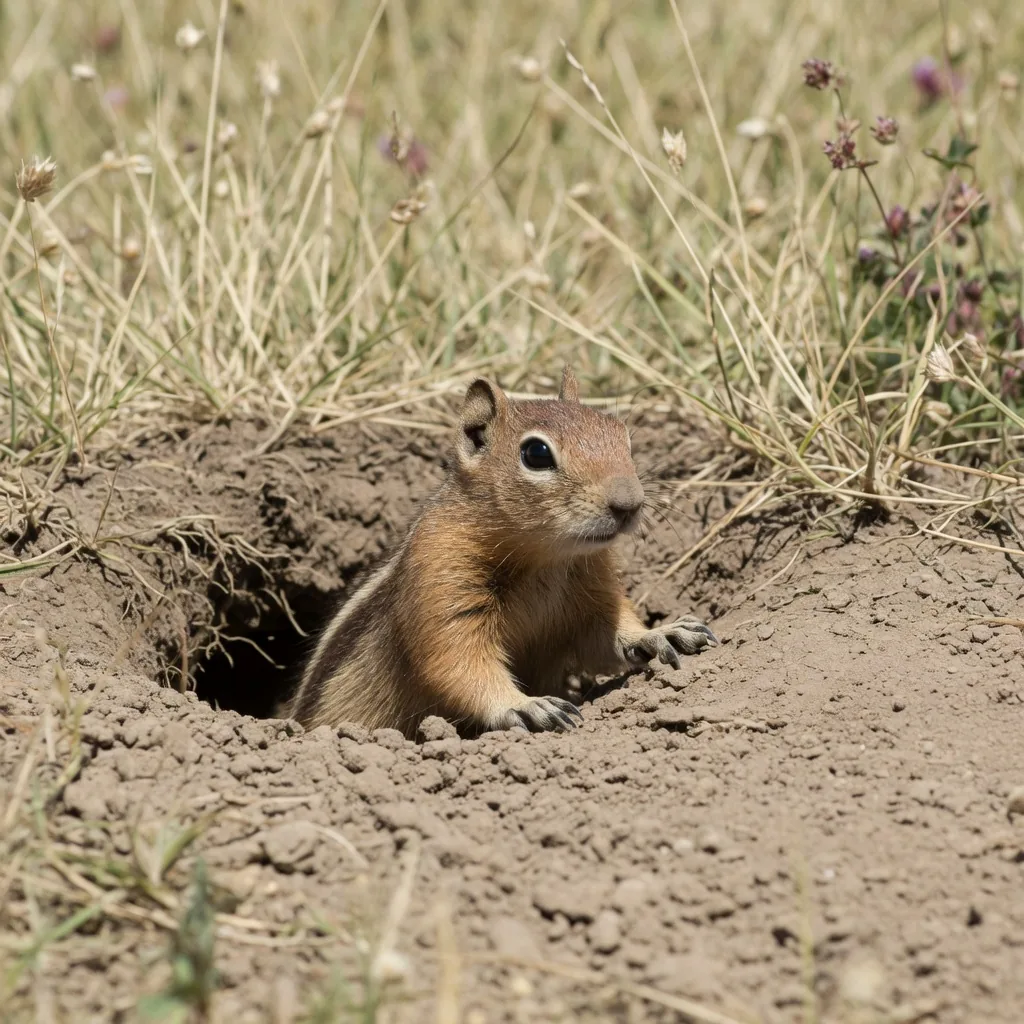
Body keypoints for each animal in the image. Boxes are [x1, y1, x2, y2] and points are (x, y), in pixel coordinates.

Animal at [287, 367, 717, 737]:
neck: (544, 559)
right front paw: (524, 705)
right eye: (537, 454)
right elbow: (457, 662)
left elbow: (605, 635)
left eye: (623, 436)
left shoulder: (591, 591)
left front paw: (660, 633)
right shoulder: (441, 576)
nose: (629, 504)